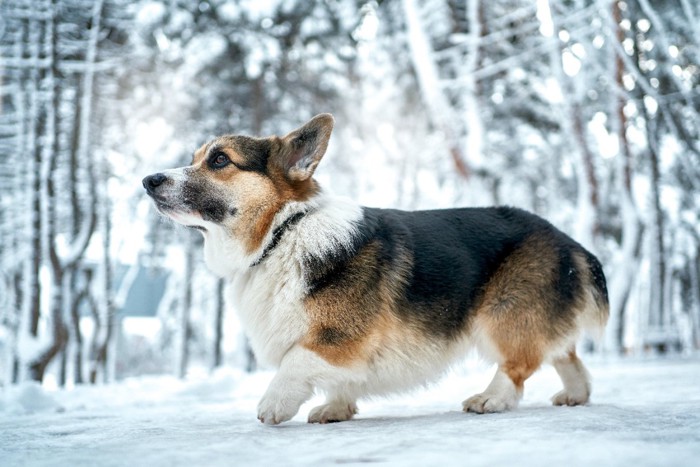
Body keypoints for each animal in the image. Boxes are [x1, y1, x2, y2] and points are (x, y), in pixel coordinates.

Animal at [141, 113, 608, 424]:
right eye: (197, 157)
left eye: (220, 160)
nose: (148, 180)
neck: (282, 233)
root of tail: (566, 239)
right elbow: (339, 379)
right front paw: (337, 408)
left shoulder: (339, 337)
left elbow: (296, 360)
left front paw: (275, 404)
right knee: (567, 355)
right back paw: (575, 395)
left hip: (502, 316)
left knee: (519, 364)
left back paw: (490, 399)